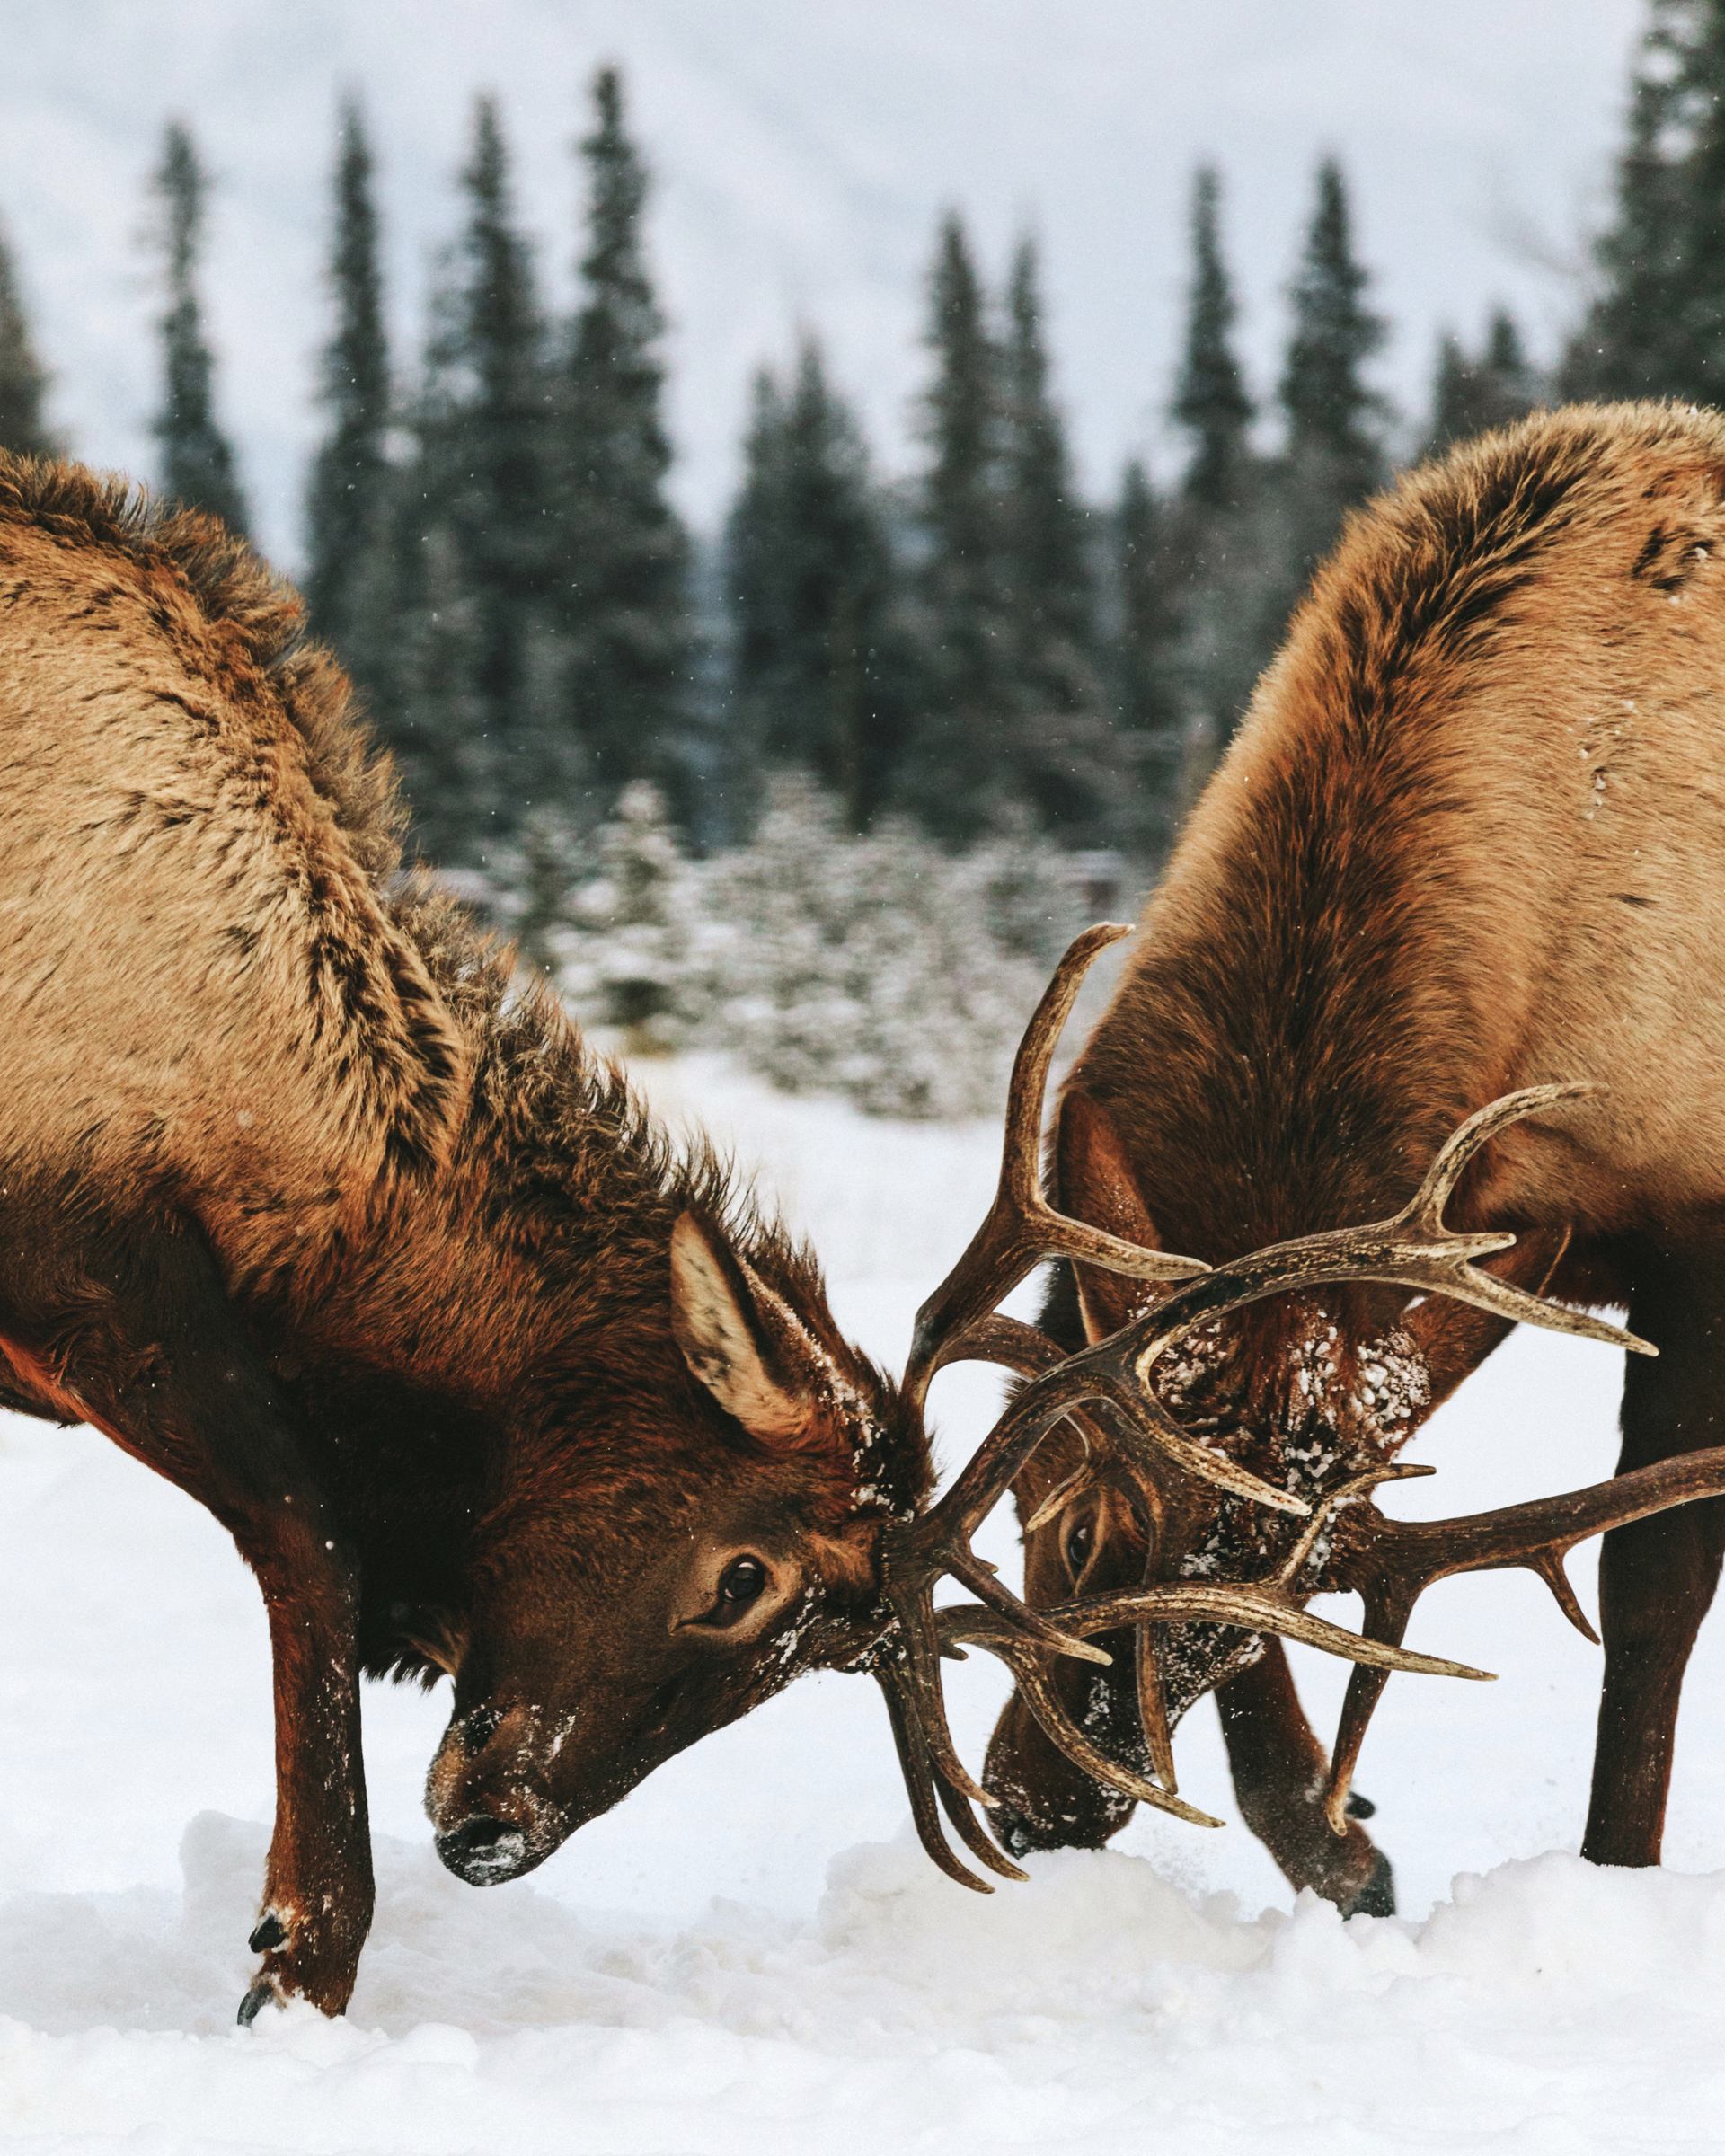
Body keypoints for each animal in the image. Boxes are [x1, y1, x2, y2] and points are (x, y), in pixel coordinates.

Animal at [949, 401, 1725, 1905]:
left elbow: (1652, 1588)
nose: (1040, 1809)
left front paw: (1611, 1866)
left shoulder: (1698, 1233)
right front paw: (1336, 1836)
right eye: (1065, 1521)